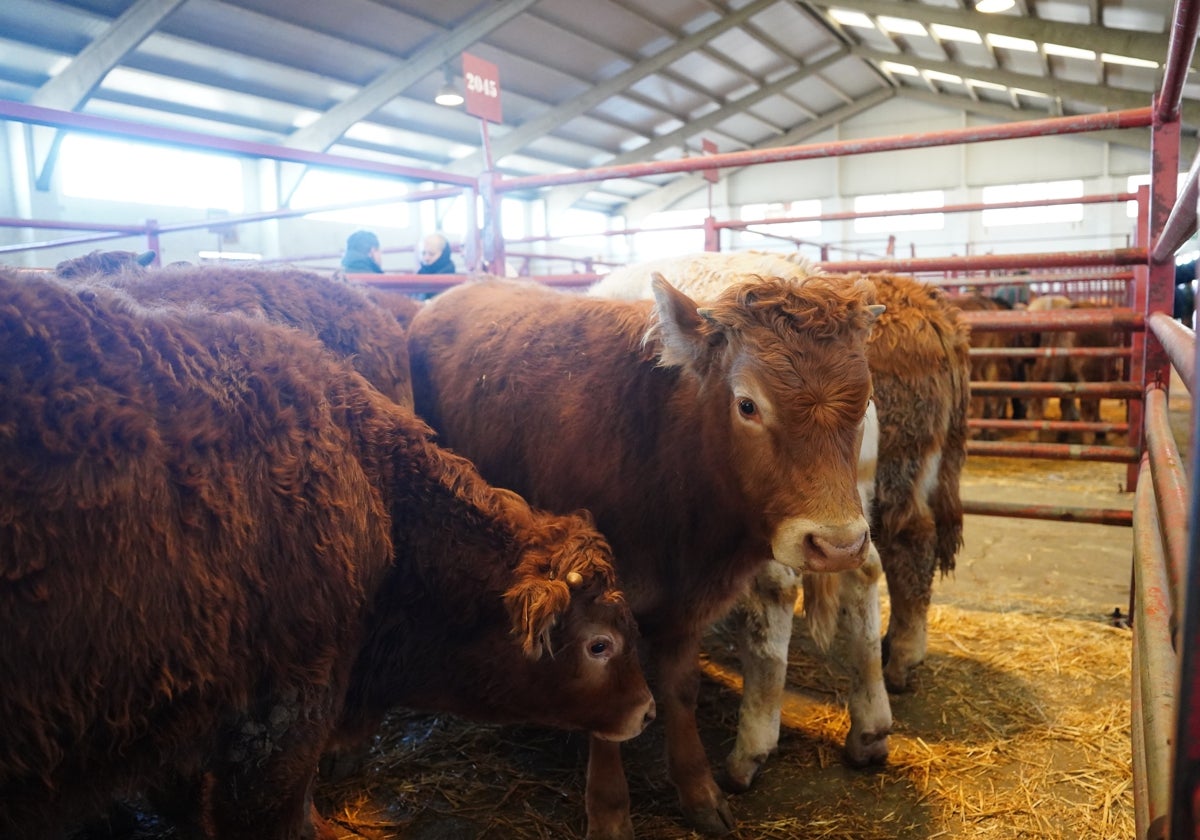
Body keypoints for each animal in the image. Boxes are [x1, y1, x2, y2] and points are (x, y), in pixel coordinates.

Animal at [408, 273, 878, 835]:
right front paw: (610, 812)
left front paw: (698, 789)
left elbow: (680, 691)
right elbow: (604, 710)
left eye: (864, 403)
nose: (838, 544)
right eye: (747, 404)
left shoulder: (688, 606)